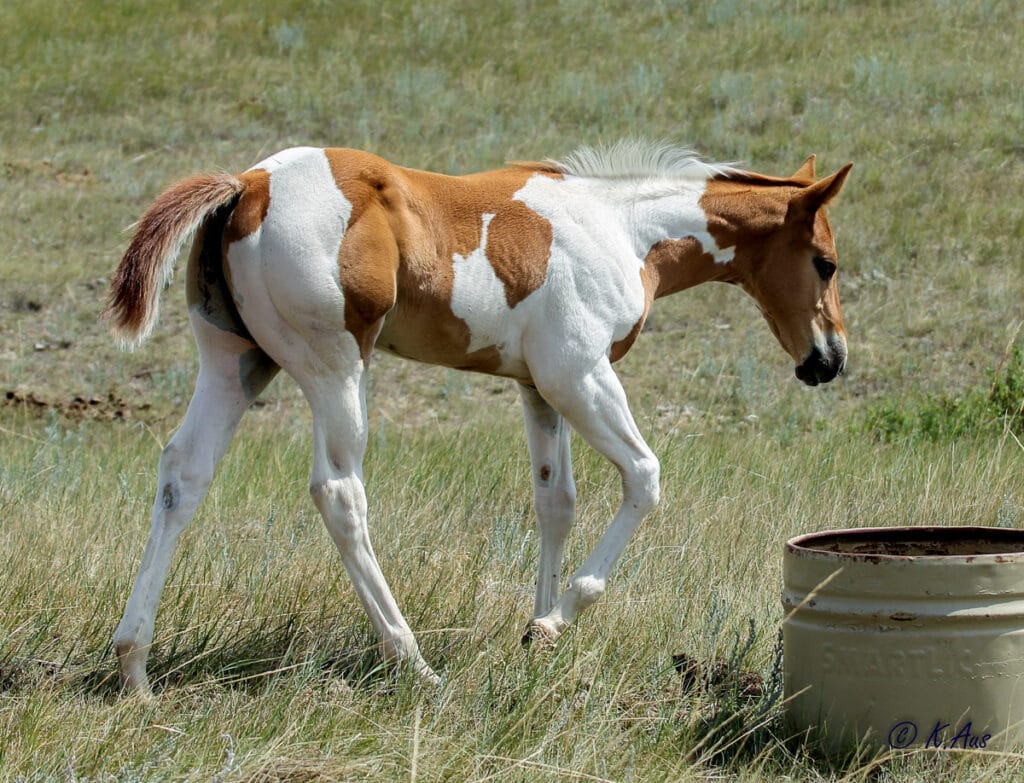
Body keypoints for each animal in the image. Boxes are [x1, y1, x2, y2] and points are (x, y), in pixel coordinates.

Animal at [105, 140, 851, 694]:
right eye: (825, 262)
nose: (830, 359)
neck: (621, 227)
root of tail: (250, 183)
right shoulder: (578, 374)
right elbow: (644, 476)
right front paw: (559, 618)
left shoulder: (538, 390)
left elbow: (557, 502)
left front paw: (536, 631)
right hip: (334, 368)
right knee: (339, 492)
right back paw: (412, 662)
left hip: (236, 362)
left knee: (183, 476)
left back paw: (134, 666)